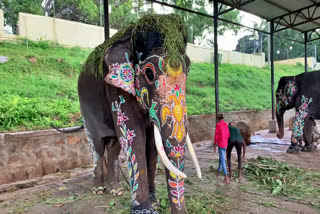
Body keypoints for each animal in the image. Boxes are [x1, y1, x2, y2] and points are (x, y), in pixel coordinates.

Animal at [78, 14, 201, 213]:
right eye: (149, 73)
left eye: (188, 70)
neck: (132, 35)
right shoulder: (116, 87)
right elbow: (135, 136)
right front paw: (144, 210)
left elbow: (151, 144)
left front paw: (155, 204)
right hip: (85, 109)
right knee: (97, 146)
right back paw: (98, 189)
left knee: (113, 146)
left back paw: (116, 191)